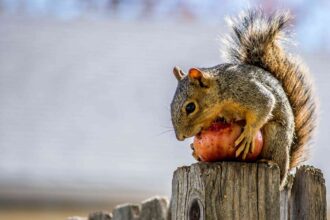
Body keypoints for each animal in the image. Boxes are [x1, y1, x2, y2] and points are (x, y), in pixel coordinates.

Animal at [170, 9, 318, 187]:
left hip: (276, 137)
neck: (222, 93)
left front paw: (248, 134)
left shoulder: (247, 90)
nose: (180, 137)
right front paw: (194, 147)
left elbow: (266, 103)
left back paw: (269, 162)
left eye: (190, 107)